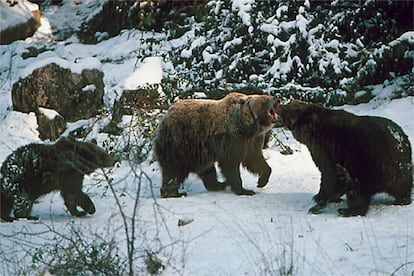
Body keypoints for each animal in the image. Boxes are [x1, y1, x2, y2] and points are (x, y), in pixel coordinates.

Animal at [276, 100, 412, 217]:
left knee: (357, 190)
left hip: (362, 161)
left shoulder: (326, 150)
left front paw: (319, 198)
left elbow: (328, 175)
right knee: (402, 186)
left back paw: (348, 210)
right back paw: (402, 199)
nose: (278, 104)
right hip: (401, 167)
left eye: (290, 106)